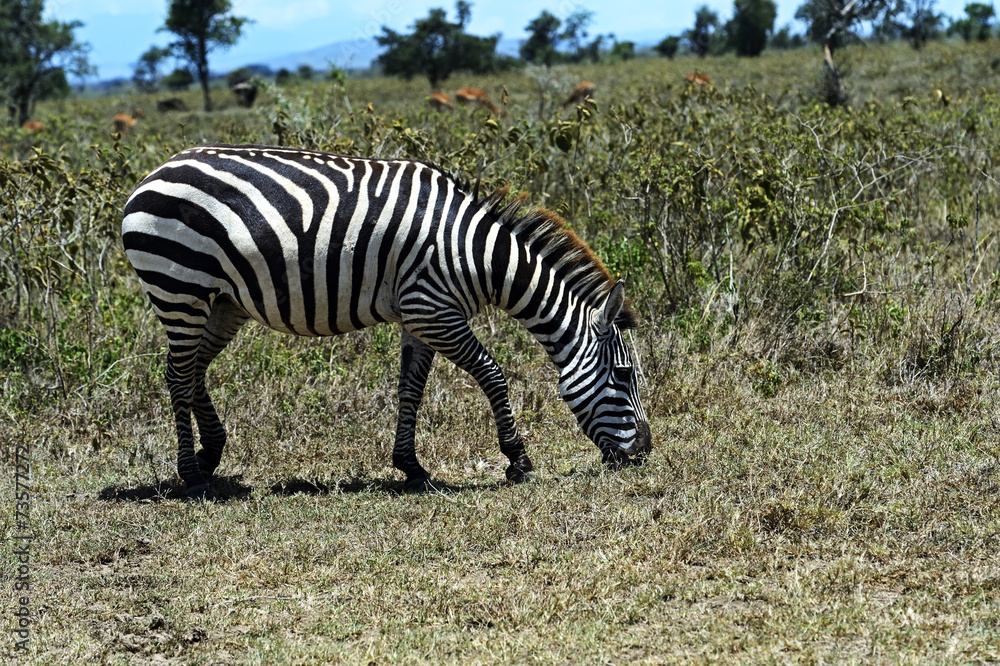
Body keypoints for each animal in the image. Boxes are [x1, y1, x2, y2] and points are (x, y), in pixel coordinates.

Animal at [121, 144, 651, 498]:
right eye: (624, 377)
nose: (644, 454)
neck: (478, 255)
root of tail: (153, 174)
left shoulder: (419, 318)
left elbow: (410, 390)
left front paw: (411, 466)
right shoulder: (433, 309)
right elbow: (493, 375)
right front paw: (517, 459)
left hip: (222, 301)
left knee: (194, 370)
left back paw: (211, 454)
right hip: (179, 286)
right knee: (177, 374)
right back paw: (191, 475)